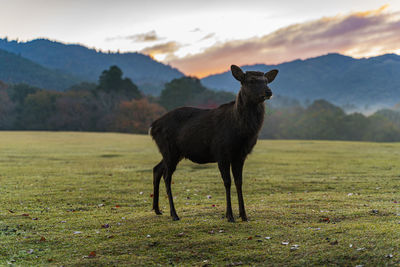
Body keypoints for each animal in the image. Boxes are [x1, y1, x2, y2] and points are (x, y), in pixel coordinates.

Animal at [150, 65, 278, 222]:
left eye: (266, 80)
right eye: (251, 81)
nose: (268, 92)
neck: (241, 132)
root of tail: (153, 126)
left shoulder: (240, 155)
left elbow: (239, 182)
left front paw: (244, 215)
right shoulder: (221, 152)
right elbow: (227, 182)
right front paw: (230, 216)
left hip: (173, 152)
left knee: (157, 169)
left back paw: (157, 209)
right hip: (169, 150)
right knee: (167, 177)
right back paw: (174, 214)